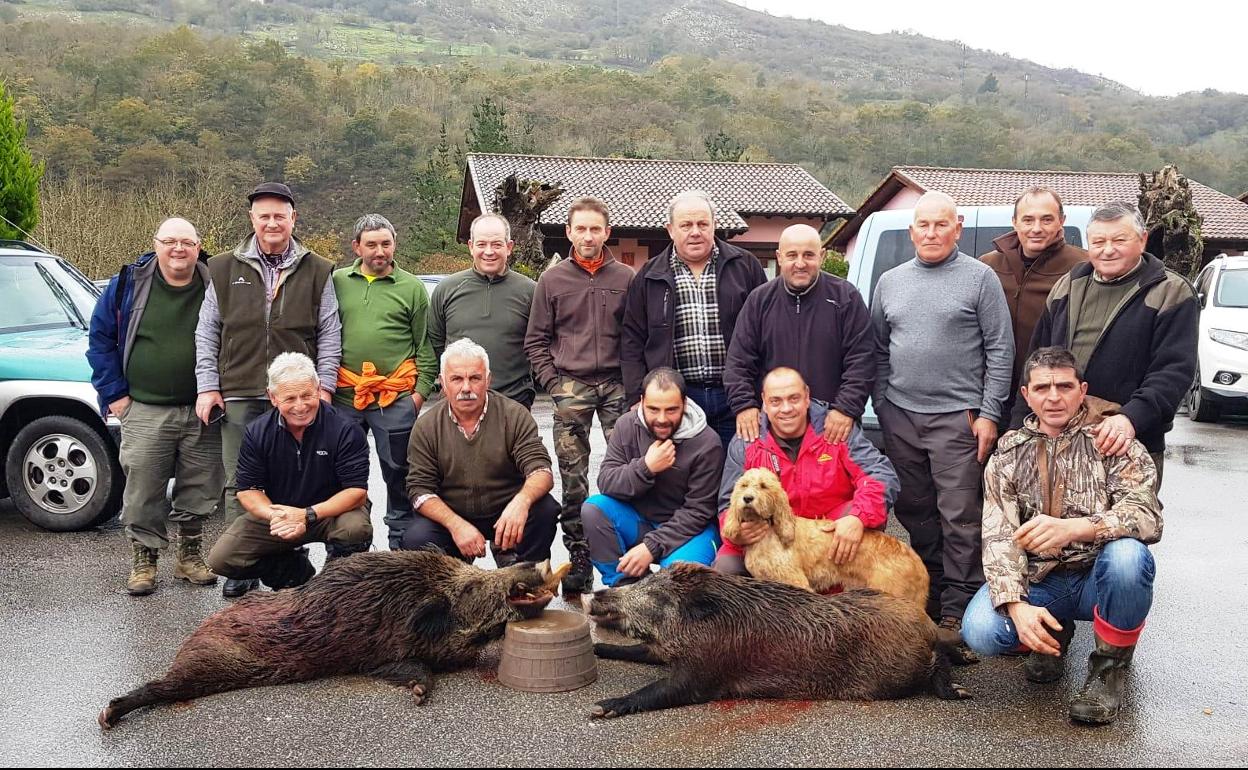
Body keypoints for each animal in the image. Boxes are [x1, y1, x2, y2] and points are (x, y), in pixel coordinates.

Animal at [99, 549, 569, 723]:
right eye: (471, 586)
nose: (533, 561)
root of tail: (199, 630)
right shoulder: (378, 654)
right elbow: (414, 671)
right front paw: (419, 696)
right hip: (206, 665)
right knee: (159, 686)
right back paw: (108, 716)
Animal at [589, 559, 968, 713]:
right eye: (645, 580)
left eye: (656, 595)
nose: (596, 594)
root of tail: (924, 622)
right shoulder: (667, 651)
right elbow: (640, 650)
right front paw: (597, 648)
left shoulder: (707, 671)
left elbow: (663, 689)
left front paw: (601, 709)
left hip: (895, 675)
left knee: (938, 662)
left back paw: (959, 690)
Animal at [718, 464, 933, 604]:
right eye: (744, 485)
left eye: (763, 486)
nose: (747, 498)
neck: (770, 533)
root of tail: (916, 560)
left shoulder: (796, 582)